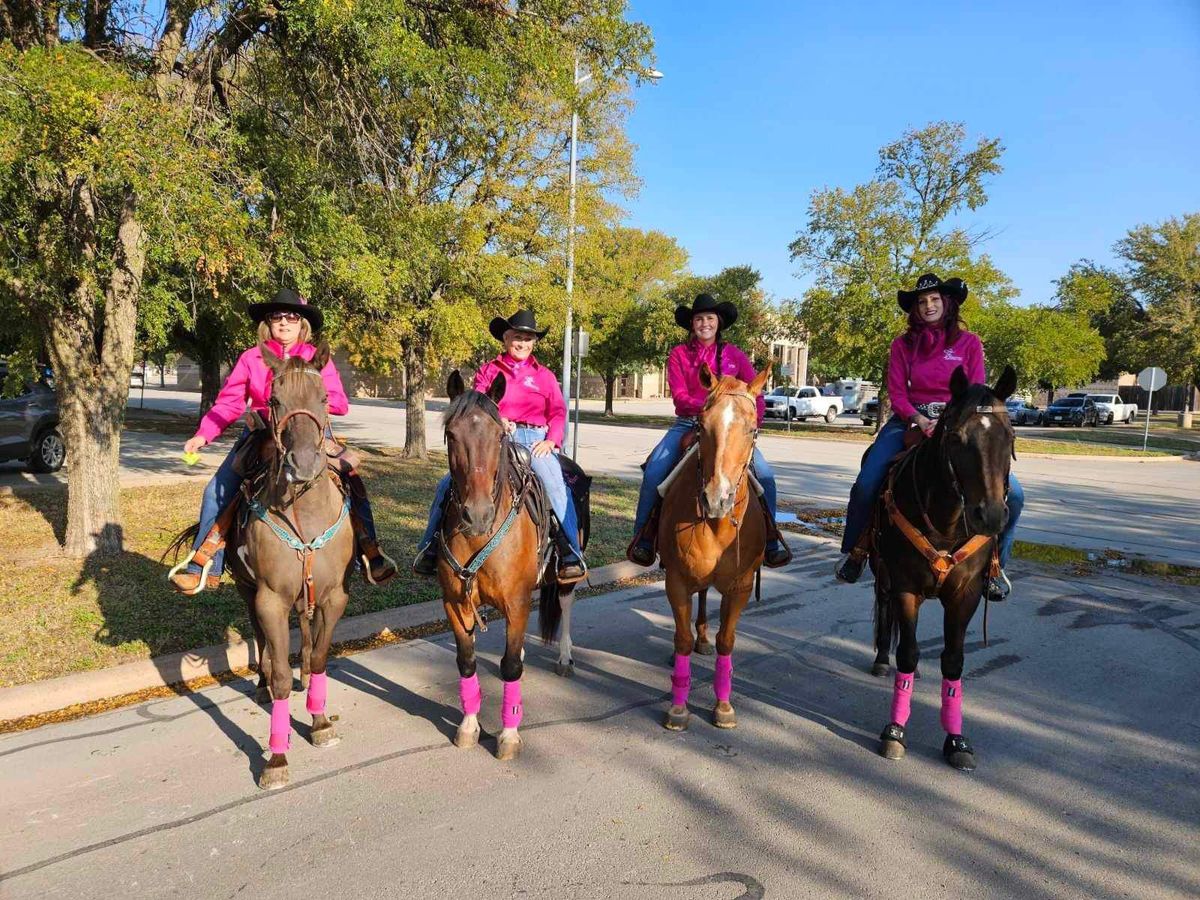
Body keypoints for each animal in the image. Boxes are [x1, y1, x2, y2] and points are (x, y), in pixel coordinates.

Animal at [439, 372, 547, 763]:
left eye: (500, 434)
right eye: (451, 434)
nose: (478, 514)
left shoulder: (518, 604)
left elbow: (510, 666)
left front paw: (509, 733)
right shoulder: (455, 604)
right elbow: (466, 660)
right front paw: (469, 725)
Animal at [657, 362, 768, 734]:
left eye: (751, 429)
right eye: (701, 426)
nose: (716, 499)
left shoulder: (741, 586)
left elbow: (726, 641)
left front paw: (723, 706)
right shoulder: (676, 581)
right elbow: (681, 639)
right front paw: (678, 709)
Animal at [868, 367, 1017, 777]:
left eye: (1011, 436)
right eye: (956, 438)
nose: (991, 516)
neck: (947, 523)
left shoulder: (965, 595)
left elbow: (953, 661)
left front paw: (956, 740)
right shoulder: (904, 586)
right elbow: (908, 652)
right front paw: (894, 732)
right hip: (881, 573)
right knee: (886, 614)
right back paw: (881, 661)